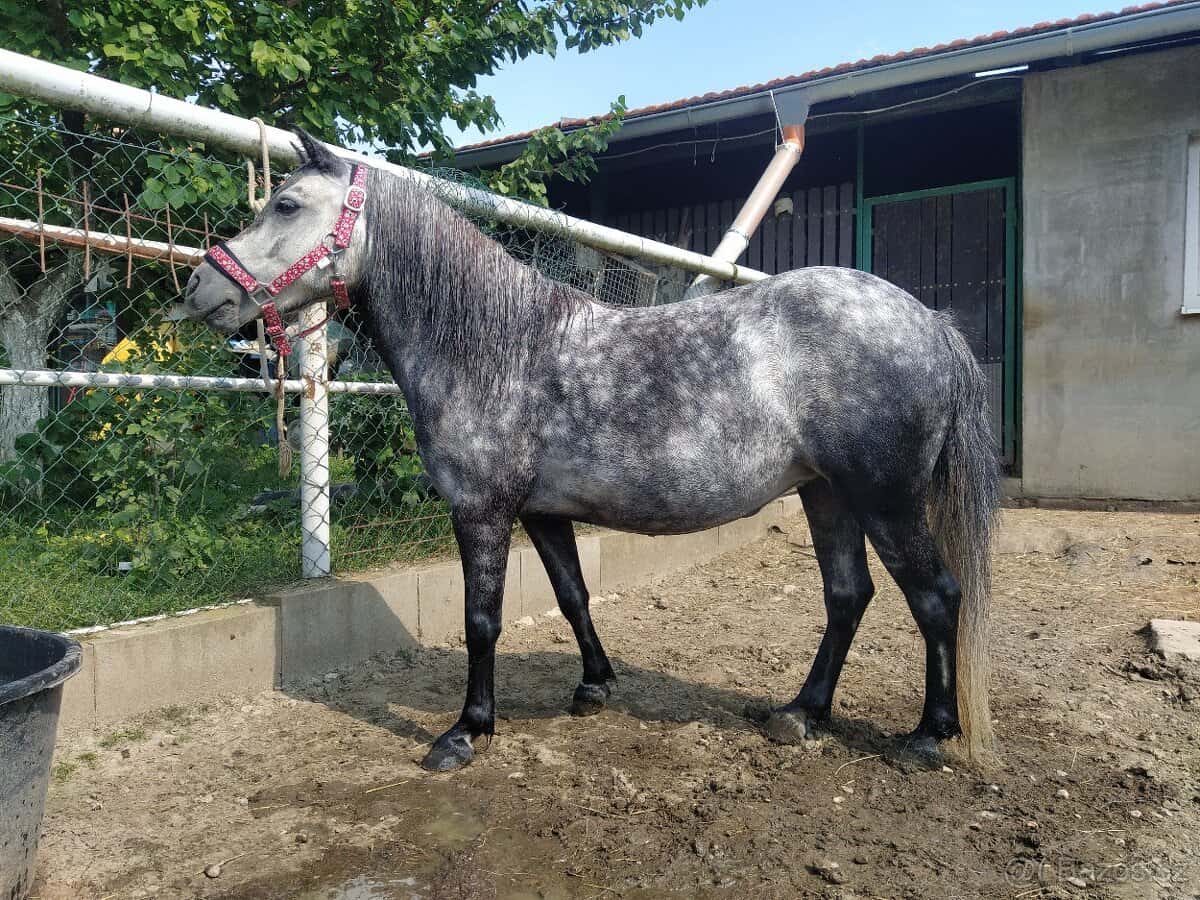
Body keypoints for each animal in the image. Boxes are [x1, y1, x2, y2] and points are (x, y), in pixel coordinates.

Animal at [180, 130, 999, 772]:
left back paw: (929, 735)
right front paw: (594, 685)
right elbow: (571, 594)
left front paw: (465, 732)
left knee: (936, 595)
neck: (495, 348)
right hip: (824, 492)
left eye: (286, 205)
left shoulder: (481, 510)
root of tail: (928, 321)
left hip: (885, 499)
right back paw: (802, 712)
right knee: (847, 595)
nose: (199, 291)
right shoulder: (542, 512)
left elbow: (482, 620)